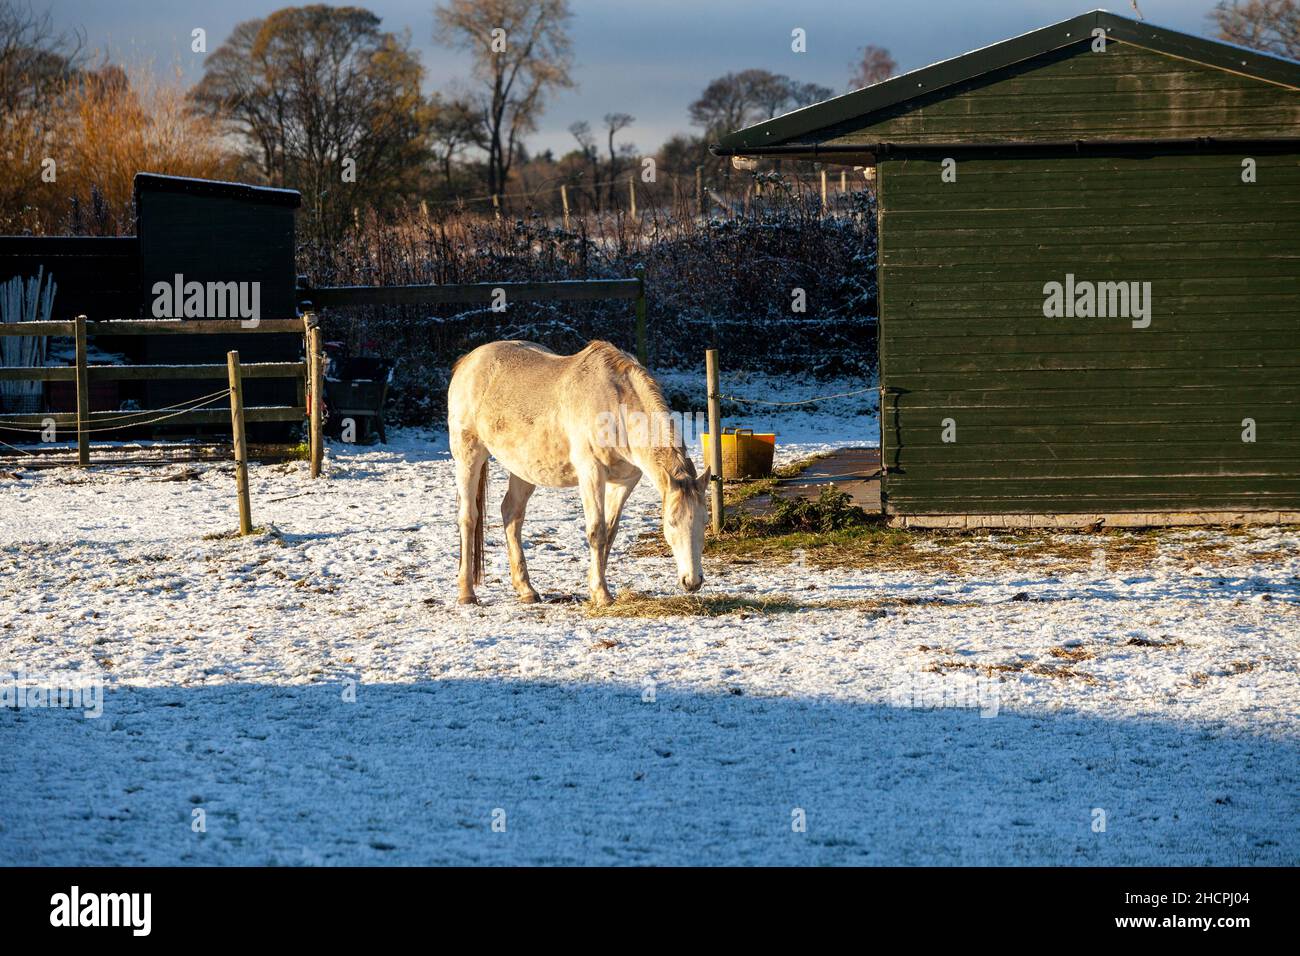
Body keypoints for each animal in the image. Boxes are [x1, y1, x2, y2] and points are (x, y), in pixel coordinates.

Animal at [447, 340, 710, 606]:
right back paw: (466, 593)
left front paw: (595, 588)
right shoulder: (591, 473)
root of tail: (468, 361)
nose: (692, 582)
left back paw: (526, 590)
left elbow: (610, 531)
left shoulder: (625, 481)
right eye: (671, 522)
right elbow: (597, 531)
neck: (615, 404)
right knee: (468, 518)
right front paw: (602, 594)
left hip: (522, 468)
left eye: (705, 521)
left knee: (512, 514)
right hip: (468, 456)